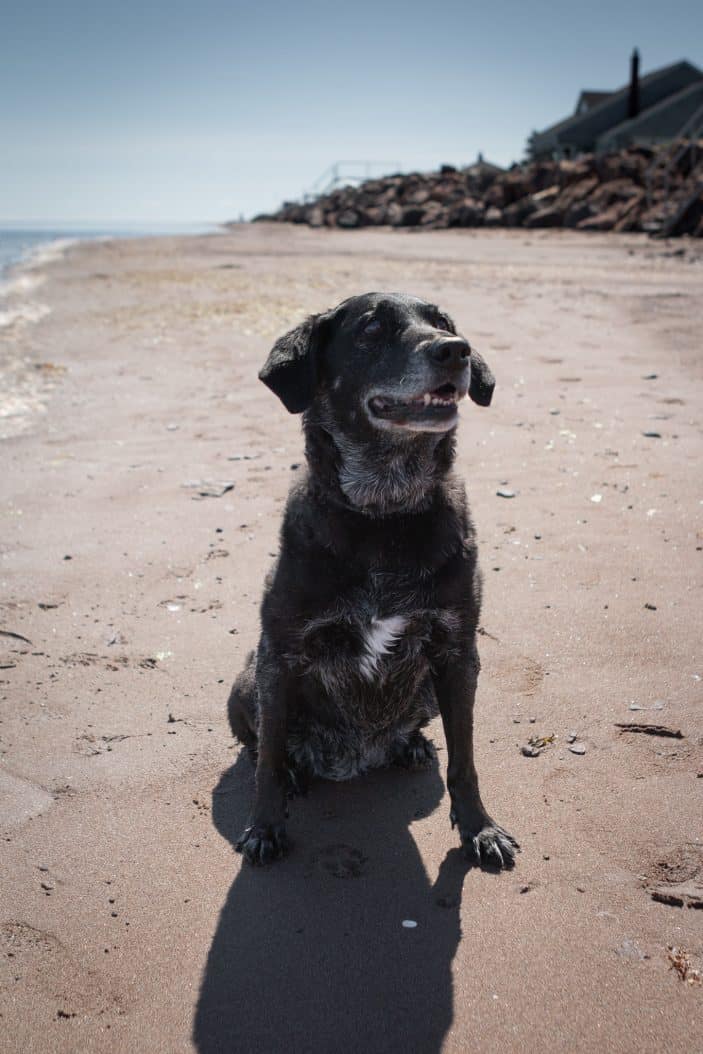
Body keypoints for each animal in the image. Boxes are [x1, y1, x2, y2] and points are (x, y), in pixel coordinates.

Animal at [228, 293, 520, 868]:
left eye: (443, 322)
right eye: (371, 329)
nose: (456, 350)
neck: (385, 512)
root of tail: (352, 758)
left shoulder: (458, 652)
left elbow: (465, 760)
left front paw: (480, 828)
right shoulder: (280, 653)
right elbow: (267, 758)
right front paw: (265, 826)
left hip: (428, 690)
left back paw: (410, 745)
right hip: (248, 680)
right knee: (263, 744)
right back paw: (295, 769)